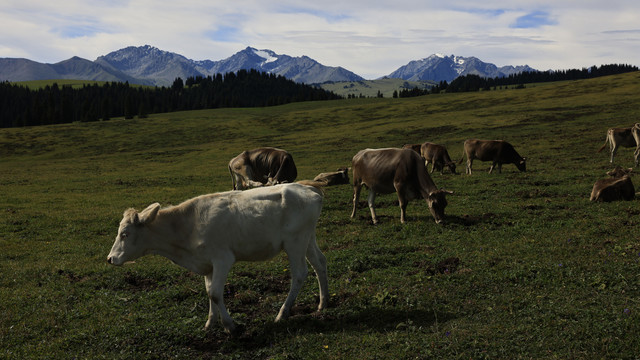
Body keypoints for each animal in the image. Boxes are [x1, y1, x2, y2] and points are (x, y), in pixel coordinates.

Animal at [105, 184, 330, 334]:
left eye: (124, 234)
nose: (110, 258)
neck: (187, 228)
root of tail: (308, 189)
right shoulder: (207, 264)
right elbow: (209, 291)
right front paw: (210, 323)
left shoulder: (222, 259)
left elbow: (214, 293)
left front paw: (230, 326)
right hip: (308, 238)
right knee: (320, 263)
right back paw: (323, 302)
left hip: (295, 242)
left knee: (299, 274)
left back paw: (282, 313)